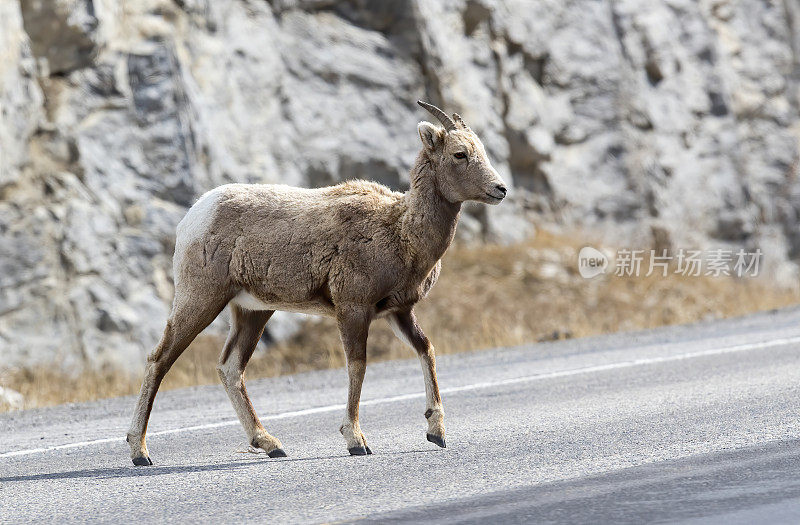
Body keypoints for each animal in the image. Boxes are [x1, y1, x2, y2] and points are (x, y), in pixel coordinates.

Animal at [129, 100, 510, 464]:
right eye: (460, 154)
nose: (500, 189)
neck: (400, 230)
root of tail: (194, 216)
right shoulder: (353, 308)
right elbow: (357, 365)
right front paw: (356, 441)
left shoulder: (398, 312)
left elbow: (426, 349)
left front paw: (437, 432)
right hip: (201, 298)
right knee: (159, 360)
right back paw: (140, 452)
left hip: (252, 311)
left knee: (230, 368)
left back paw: (271, 445)